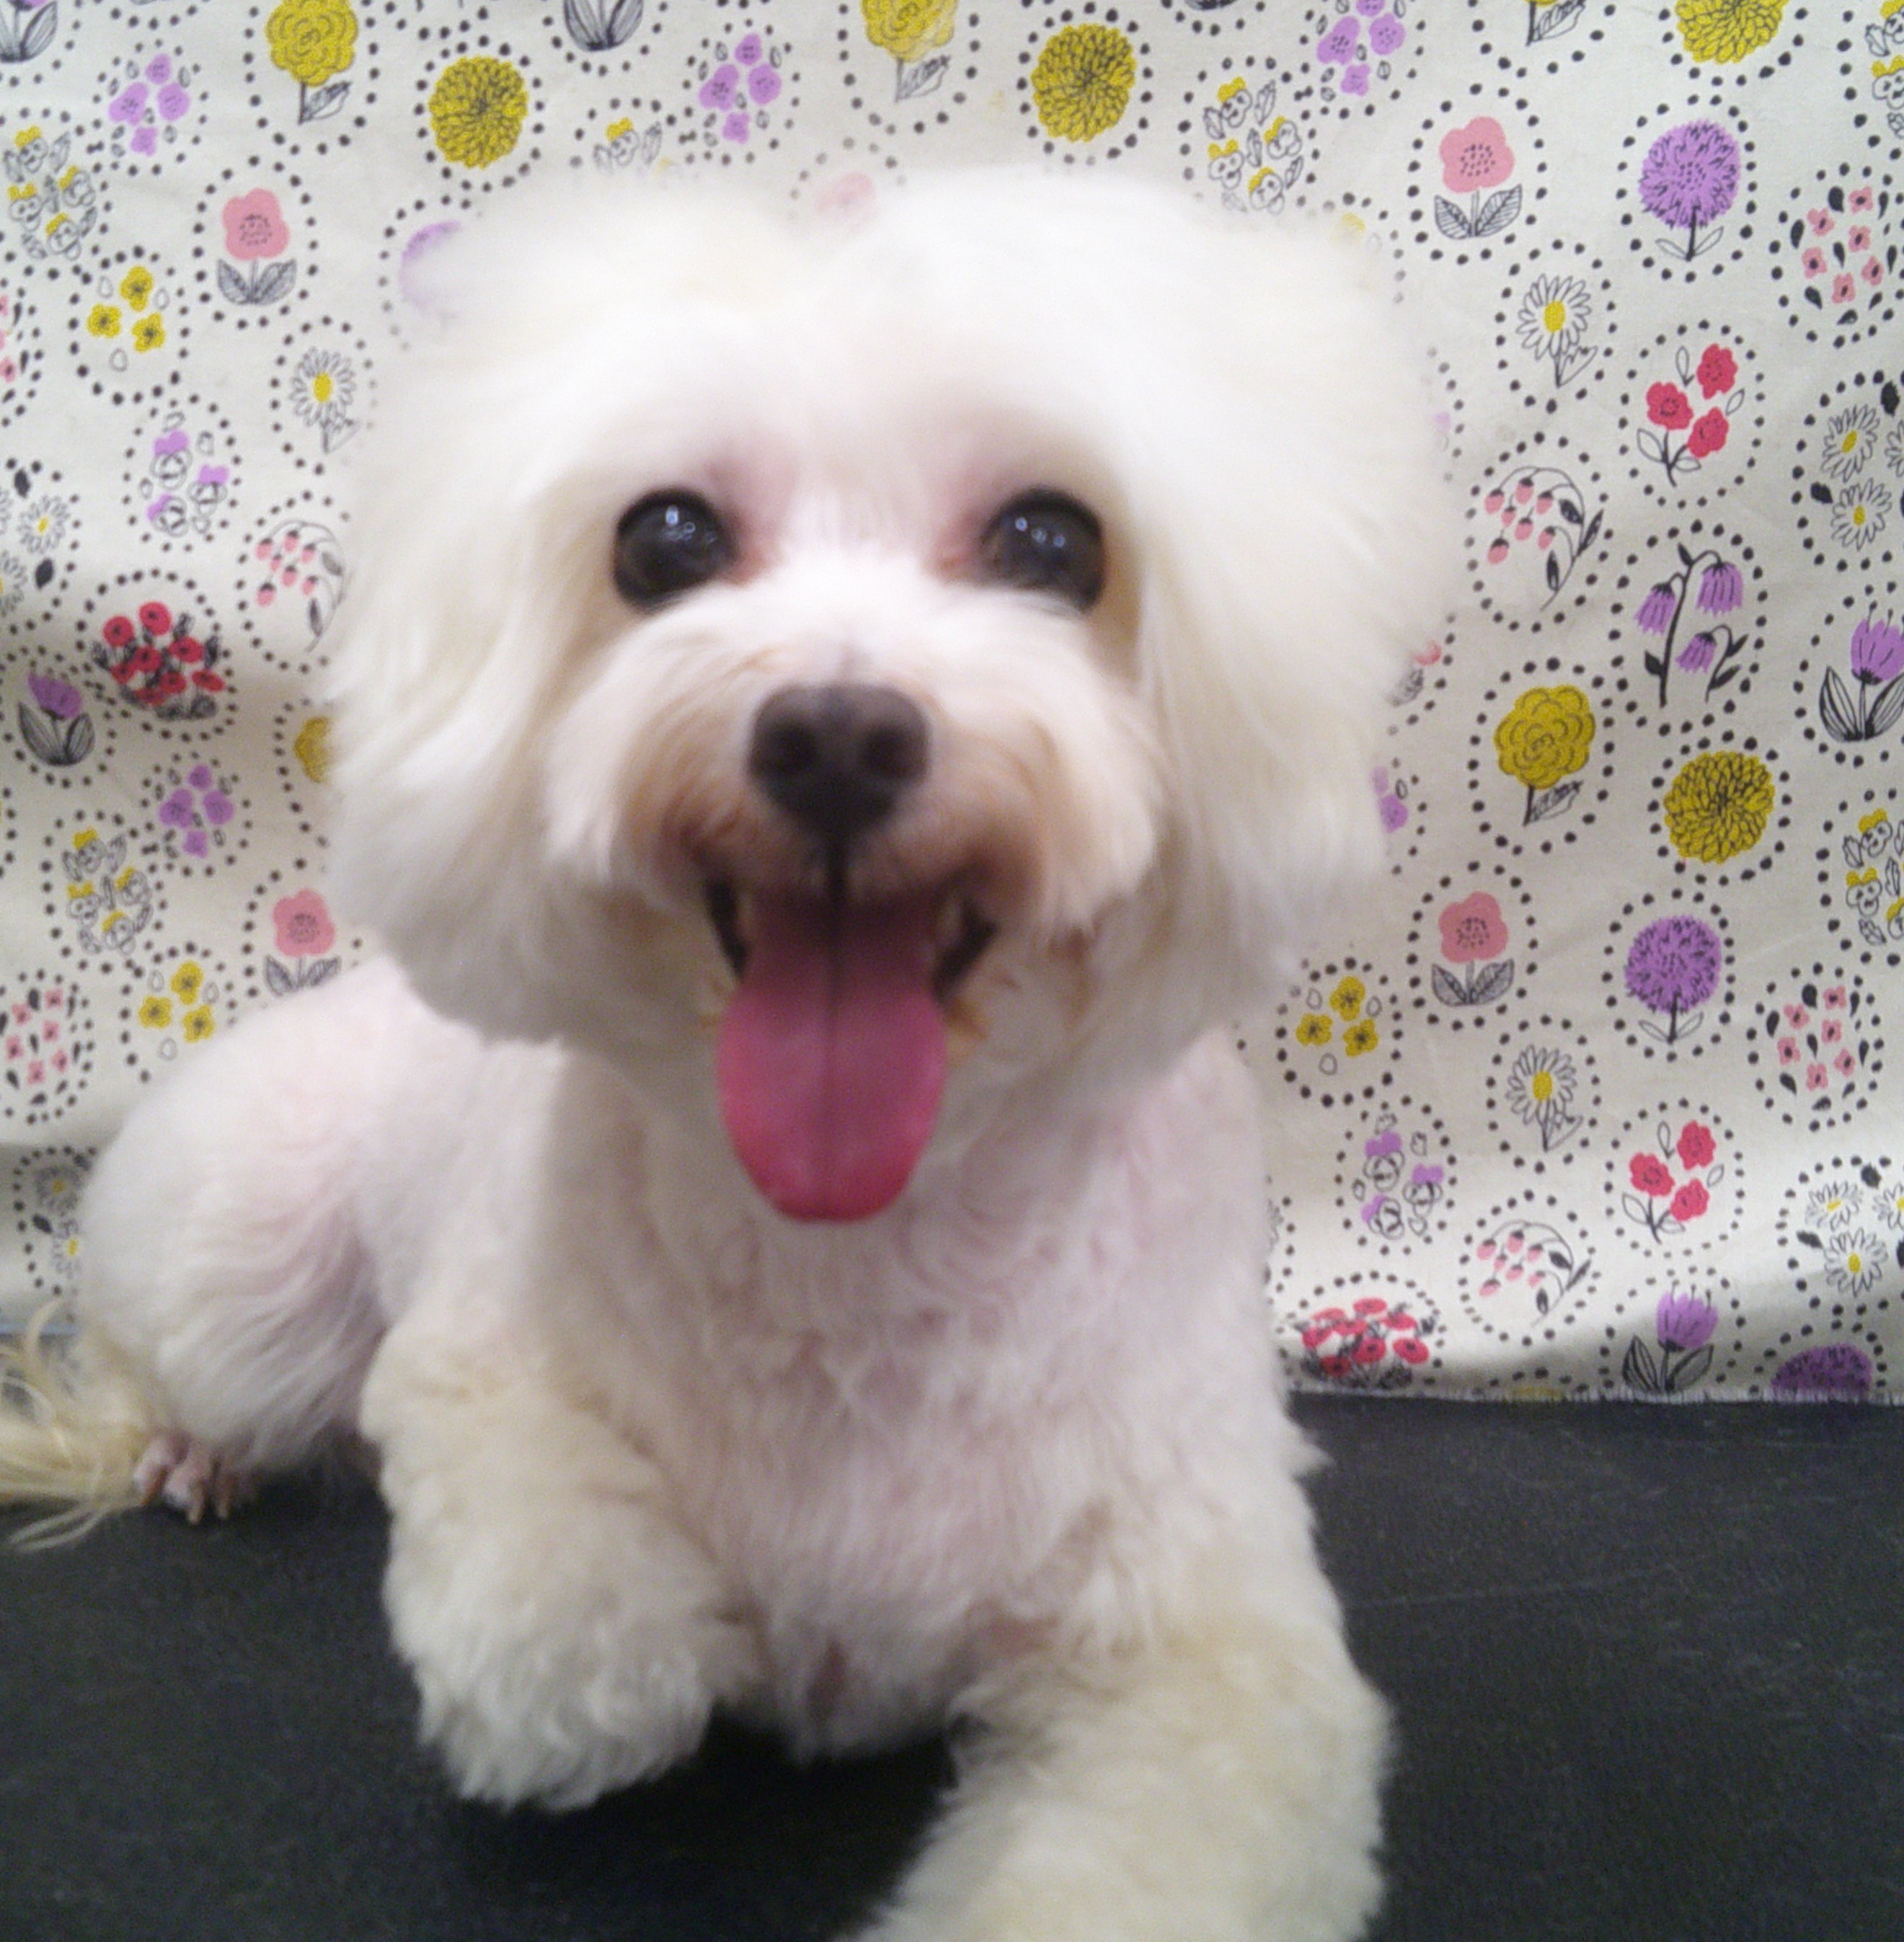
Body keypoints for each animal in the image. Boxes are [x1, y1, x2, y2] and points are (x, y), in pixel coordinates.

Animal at [3, 172, 1448, 1940]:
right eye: (666, 539)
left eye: (1054, 541)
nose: (833, 732)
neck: (865, 1243)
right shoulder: (477, 1365)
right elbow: (562, 1632)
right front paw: (666, 1648)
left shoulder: (1202, 1643)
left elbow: (1163, 1824)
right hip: (242, 1251)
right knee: (202, 1356)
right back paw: (188, 1446)